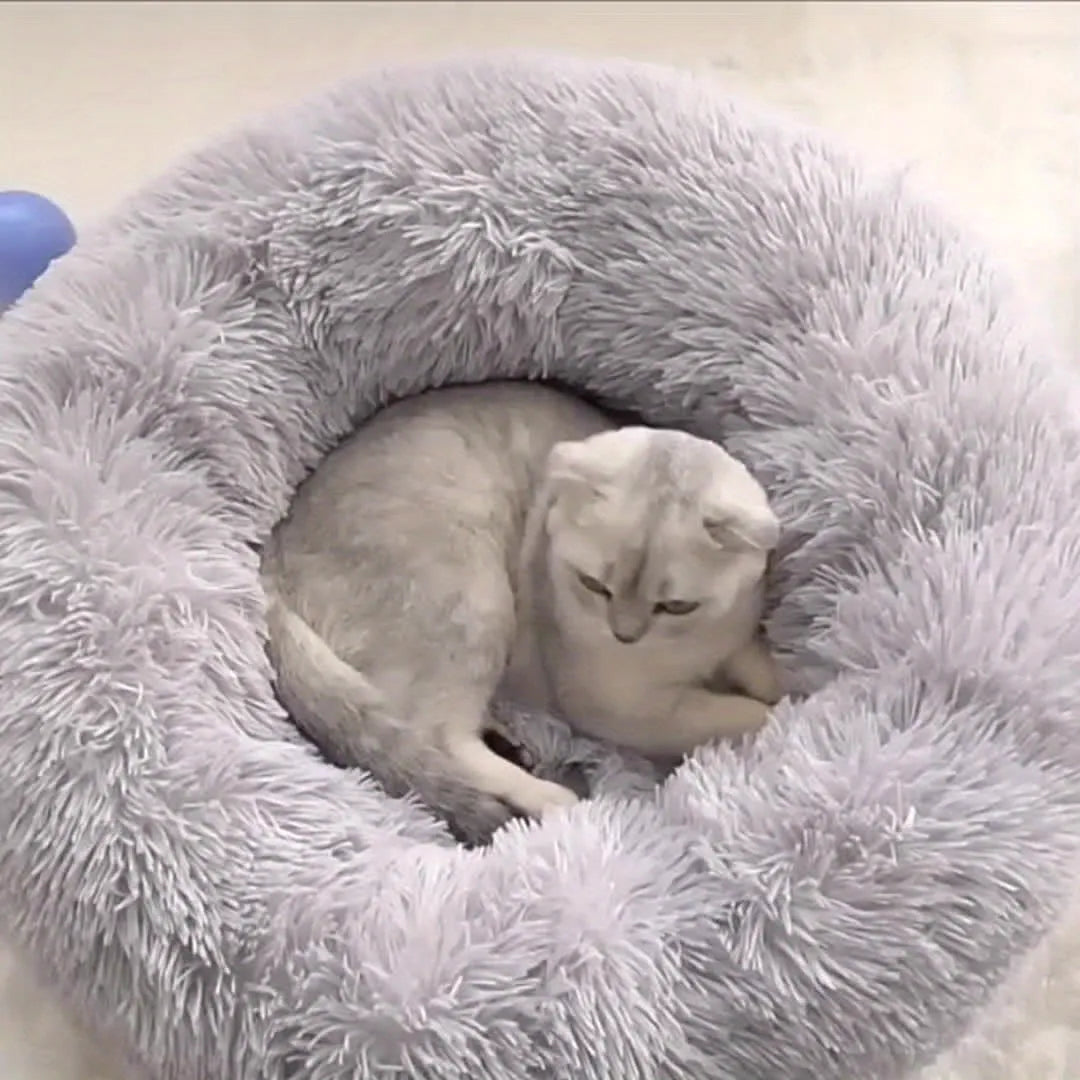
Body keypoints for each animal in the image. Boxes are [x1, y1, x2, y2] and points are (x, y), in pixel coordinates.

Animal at [261, 380, 786, 842]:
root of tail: (271, 558)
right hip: (473, 601)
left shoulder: (733, 635)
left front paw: (781, 680)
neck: (688, 647)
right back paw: (548, 795)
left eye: (676, 605)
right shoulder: (624, 708)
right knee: (436, 738)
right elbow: (738, 714)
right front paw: (779, 711)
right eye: (594, 585)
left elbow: (756, 664)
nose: (624, 634)